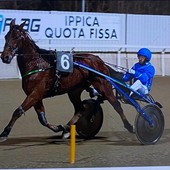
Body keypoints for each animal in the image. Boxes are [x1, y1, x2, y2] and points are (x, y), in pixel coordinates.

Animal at [0, 19, 134, 141]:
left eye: (16, 37)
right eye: (6, 36)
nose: (5, 57)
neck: (37, 64)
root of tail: (99, 60)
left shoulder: (36, 93)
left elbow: (18, 111)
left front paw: (4, 133)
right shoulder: (35, 96)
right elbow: (42, 119)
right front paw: (59, 127)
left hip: (103, 85)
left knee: (116, 104)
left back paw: (129, 126)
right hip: (74, 91)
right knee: (80, 109)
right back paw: (66, 128)